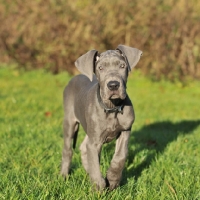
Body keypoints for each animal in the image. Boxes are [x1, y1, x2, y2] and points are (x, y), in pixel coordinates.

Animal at [61, 44, 142, 191]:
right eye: (100, 68)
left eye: (122, 66)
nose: (113, 85)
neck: (112, 108)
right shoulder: (95, 142)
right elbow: (95, 164)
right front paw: (99, 186)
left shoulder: (125, 130)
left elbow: (120, 156)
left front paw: (112, 179)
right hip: (70, 122)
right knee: (68, 150)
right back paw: (63, 176)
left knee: (83, 147)